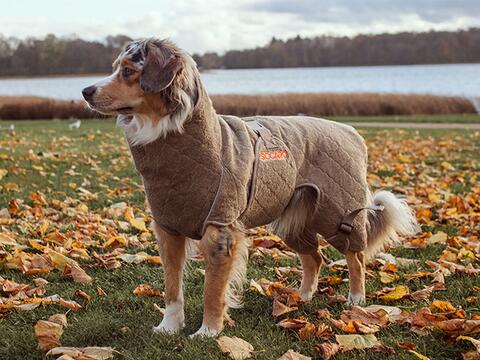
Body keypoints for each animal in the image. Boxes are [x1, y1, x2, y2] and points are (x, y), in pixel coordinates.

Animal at [80, 38, 418, 338]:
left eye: (127, 71)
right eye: (116, 68)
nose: (85, 91)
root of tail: (350, 130)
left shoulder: (220, 230)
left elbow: (212, 291)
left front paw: (208, 332)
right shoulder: (168, 228)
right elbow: (172, 287)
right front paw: (169, 327)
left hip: (337, 212)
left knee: (355, 255)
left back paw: (356, 299)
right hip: (292, 222)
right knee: (315, 257)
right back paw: (303, 296)